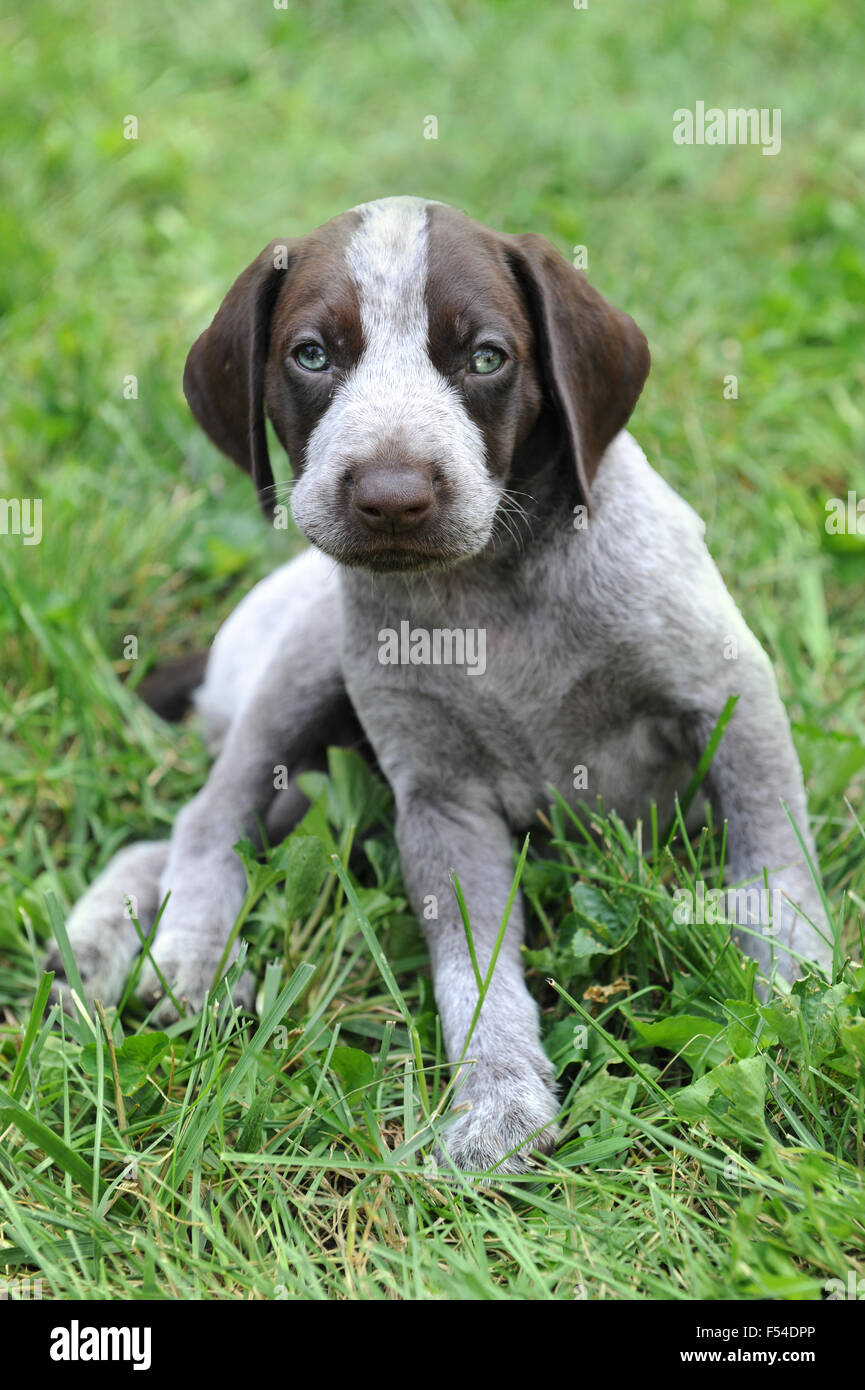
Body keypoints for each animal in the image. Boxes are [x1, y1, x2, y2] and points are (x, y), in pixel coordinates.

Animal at [50, 195, 839, 1173]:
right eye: (312, 355)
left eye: (486, 357)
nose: (392, 497)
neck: (490, 588)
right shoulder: (441, 800)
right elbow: (474, 967)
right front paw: (497, 1098)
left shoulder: (729, 698)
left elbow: (774, 871)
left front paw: (795, 1004)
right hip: (306, 669)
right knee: (206, 817)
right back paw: (186, 953)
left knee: (173, 834)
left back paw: (104, 938)